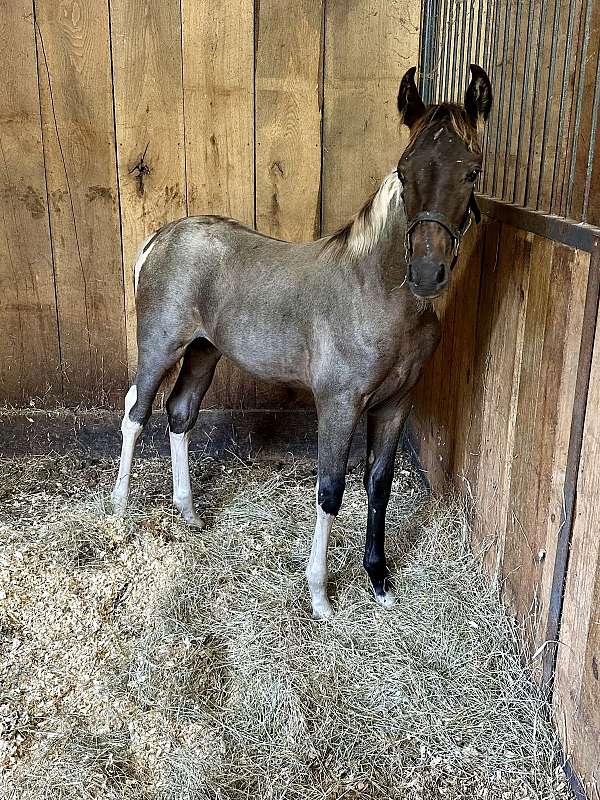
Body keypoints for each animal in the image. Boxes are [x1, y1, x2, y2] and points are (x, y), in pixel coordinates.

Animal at [112, 64, 493, 619]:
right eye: (404, 172)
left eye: (472, 172)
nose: (426, 272)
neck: (376, 292)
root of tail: (160, 237)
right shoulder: (339, 403)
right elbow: (330, 490)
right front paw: (320, 597)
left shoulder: (396, 403)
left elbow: (377, 486)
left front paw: (379, 581)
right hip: (160, 346)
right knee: (135, 412)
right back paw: (119, 513)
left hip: (205, 350)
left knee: (179, 412)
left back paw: (190, 516)